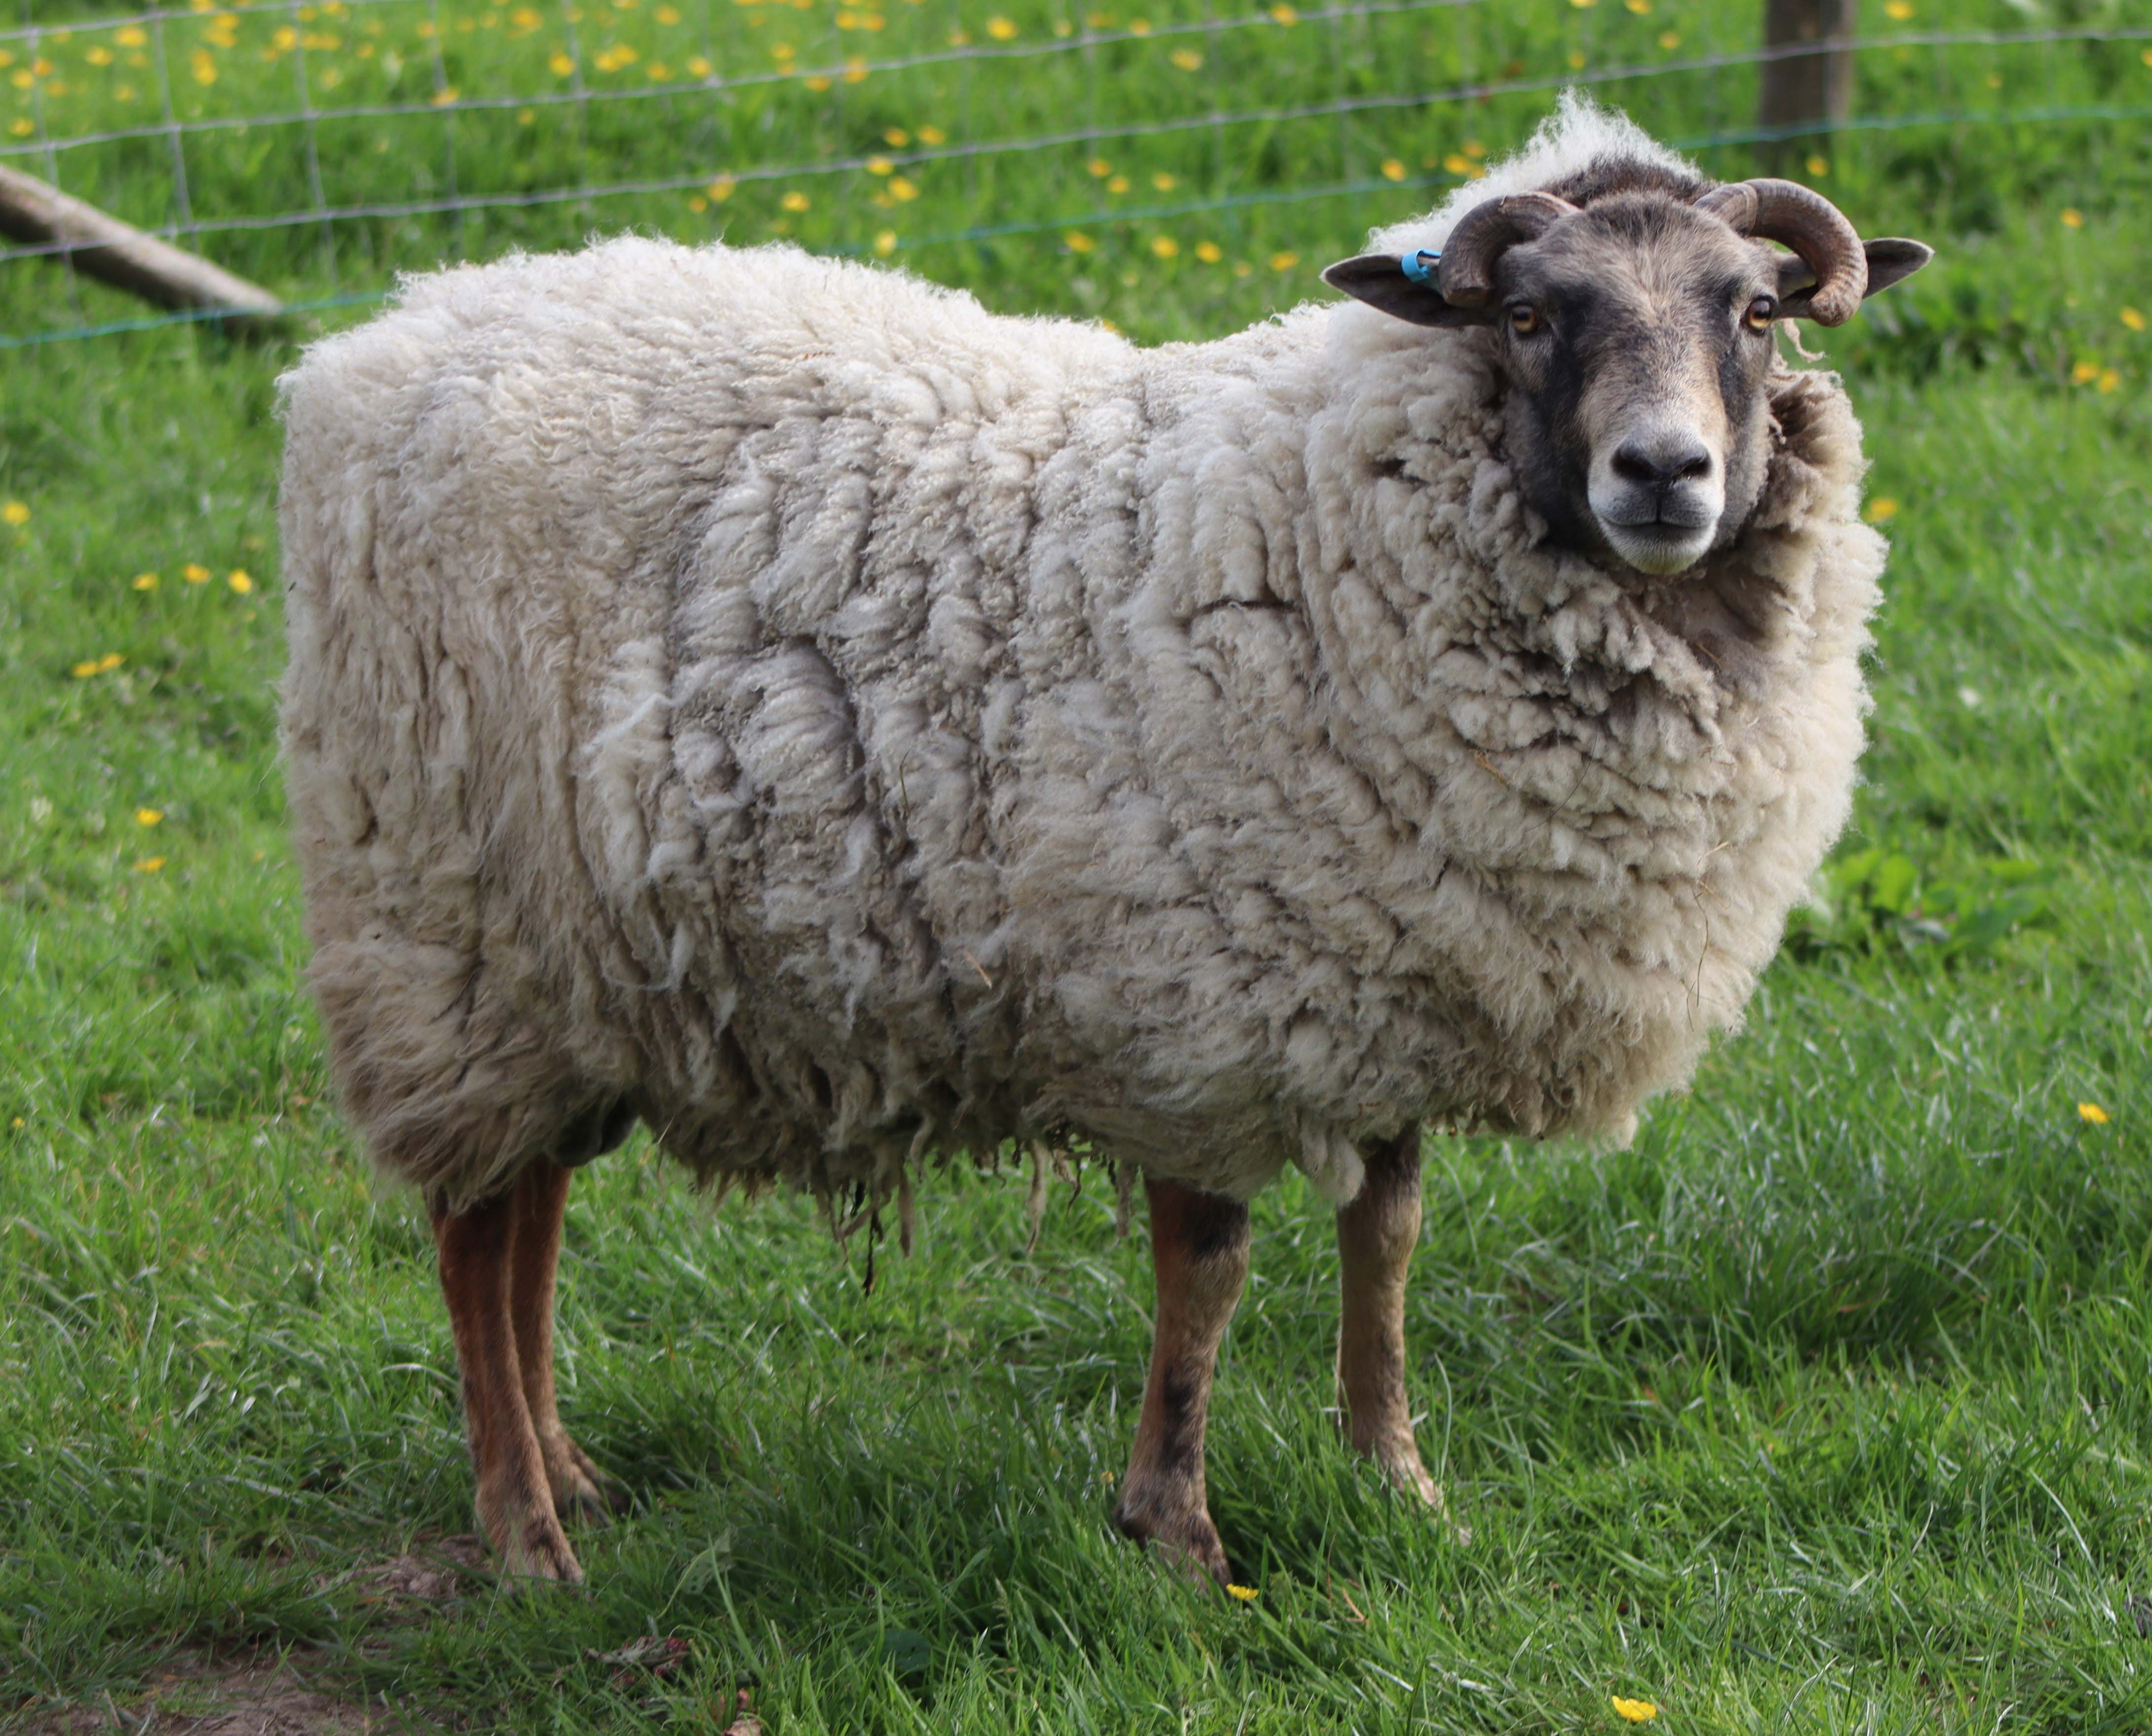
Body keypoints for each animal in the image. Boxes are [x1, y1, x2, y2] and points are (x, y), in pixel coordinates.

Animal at [278, 94, 1931, 1584]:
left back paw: (570, 1474)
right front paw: (1177, 1533)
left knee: (530, 1215)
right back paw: (526, 1533)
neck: (1321, 531)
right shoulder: (1195, 999)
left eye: (1757, 310)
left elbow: (1386, 1239)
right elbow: (1204, 1271)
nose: (1662, 474)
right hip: (443, 928)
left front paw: (1396, 1482)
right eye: (1526, 315)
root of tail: (379, 345)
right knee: (471, 1233)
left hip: (573, 964)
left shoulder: (1387, 976)